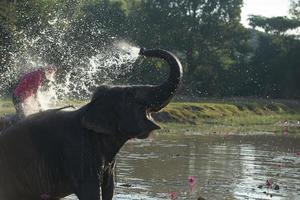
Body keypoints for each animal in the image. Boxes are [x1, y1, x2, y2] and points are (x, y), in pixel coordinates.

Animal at [0, 47, 183, 199]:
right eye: (131, 95)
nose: (142, 50)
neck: (89, 108)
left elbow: (110, 188)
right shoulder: (78, 151)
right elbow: (90, 191)